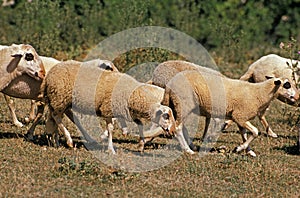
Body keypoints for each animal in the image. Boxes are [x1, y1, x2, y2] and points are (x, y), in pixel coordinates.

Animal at [41, 59, 178, 154]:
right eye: (166, 116)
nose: (173, 131)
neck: (132, 93)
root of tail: (53, 70)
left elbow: (139, 124)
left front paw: (141, 143)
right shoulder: (107, 109)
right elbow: (111, 128)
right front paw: (111, 149)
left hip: (64, 100)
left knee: (65, 116)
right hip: (59, 98)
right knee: (56, 116)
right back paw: (69, 140)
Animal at [162, 69, 296, 157]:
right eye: (287, 85)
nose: (295, 97)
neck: (259, 93)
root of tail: (170, 85)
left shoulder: (240, 118)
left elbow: (244, 134)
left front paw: (248, 151)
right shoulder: (240, 115)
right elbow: (255, 132)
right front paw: (239, 148)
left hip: (178, 105)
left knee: (179, 126)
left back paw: (192, 146)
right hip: (184, 104)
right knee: (178, 128)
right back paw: (188, 150)